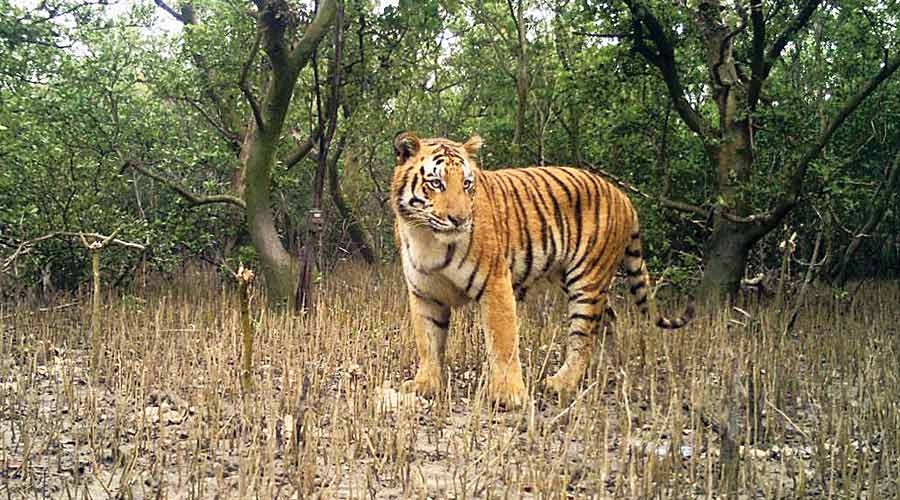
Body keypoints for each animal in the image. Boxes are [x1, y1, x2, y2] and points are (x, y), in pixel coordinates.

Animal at [390, 134, 692, 410]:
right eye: (436, 183)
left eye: (466, 184)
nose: (460, 220)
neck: (427, 238)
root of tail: (623, 196)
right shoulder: (424, 293)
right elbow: (428, 341)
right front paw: (425, 385)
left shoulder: (495, 284)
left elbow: (503, 343)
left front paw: (510, 395)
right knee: (608, 321)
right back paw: (602, 374)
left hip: (587, 281)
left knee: (584, 337)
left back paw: (561, 383)